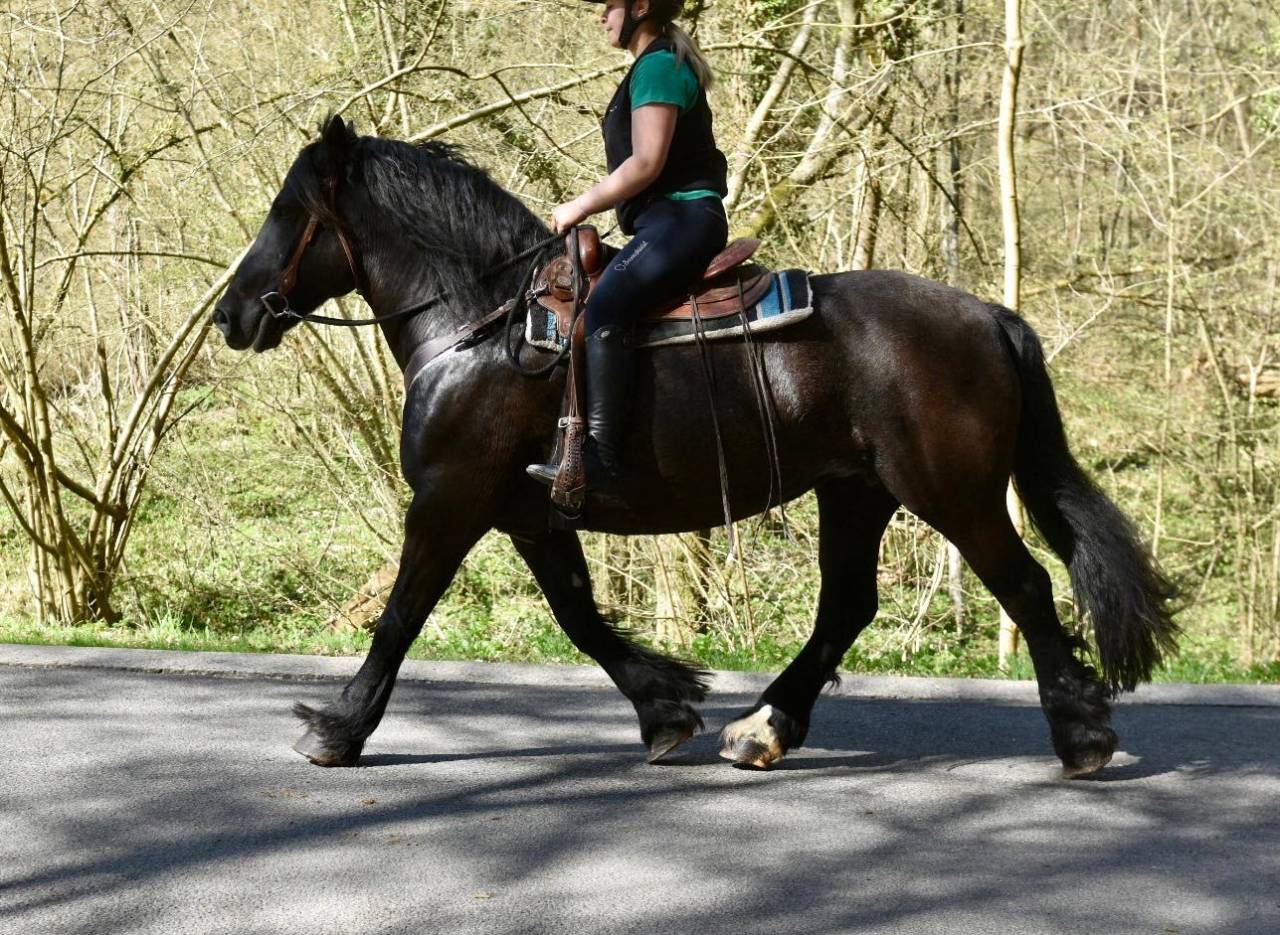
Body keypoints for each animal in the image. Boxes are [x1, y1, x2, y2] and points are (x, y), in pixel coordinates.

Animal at [212, 116, 1177, 776]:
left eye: (288, 212)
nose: (232, 314)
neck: (483, 325)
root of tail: (986, 315)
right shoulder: (529, 512)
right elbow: (579, 615)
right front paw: (666, 704)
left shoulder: (451, 500)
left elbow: (402, 614)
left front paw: (340, 726)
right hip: (856, 490)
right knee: (847, 606)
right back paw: (764, 725)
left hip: (954, 494)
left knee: (1024, 585)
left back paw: (1081, 733)